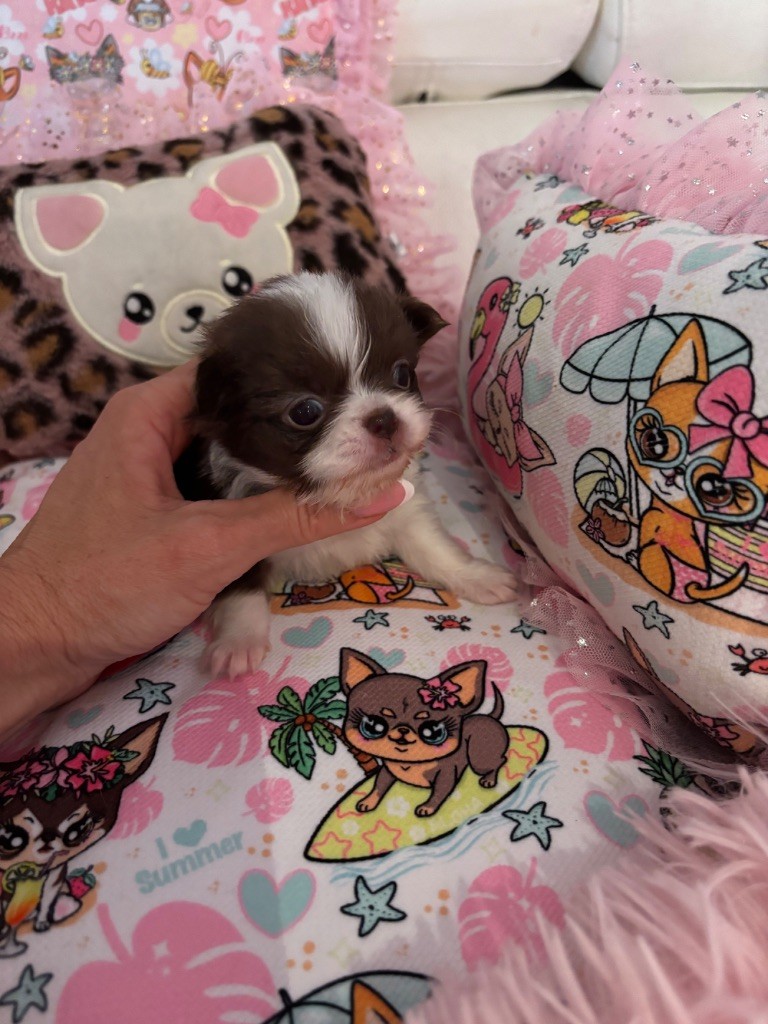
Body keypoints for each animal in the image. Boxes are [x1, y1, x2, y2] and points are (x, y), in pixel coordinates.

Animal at [0, 715, 166, 954]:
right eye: (10, 838)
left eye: (78, 831)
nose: (47, 841)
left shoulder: (53, 879)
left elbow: (45, 901)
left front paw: (42, 922)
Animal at [176, 271, 518, 678]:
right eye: (305, 412)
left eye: (402, 374)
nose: (384, 418)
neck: (342, 495)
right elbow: (238, 586)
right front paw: (238, 641)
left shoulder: (406, 508)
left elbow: (434, 547)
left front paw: (476, 575)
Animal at [340, 648, 510, 818]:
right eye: (374, 726)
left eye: (433, 732)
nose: (403, 729)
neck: (408, 764)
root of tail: (490, 717)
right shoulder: (387, 772)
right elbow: (378, 786)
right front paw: (368, 801)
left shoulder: (445, 774)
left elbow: (438, 793)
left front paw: (427, 807)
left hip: (478, 758)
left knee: (500, 760)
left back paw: (489, 780)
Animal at [628, 318, 768, 602]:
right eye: (655, 442)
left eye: (714, 489)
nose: (675, 472)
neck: (668, 511)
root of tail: (695, 590)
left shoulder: (652, 526)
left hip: (662, 561)